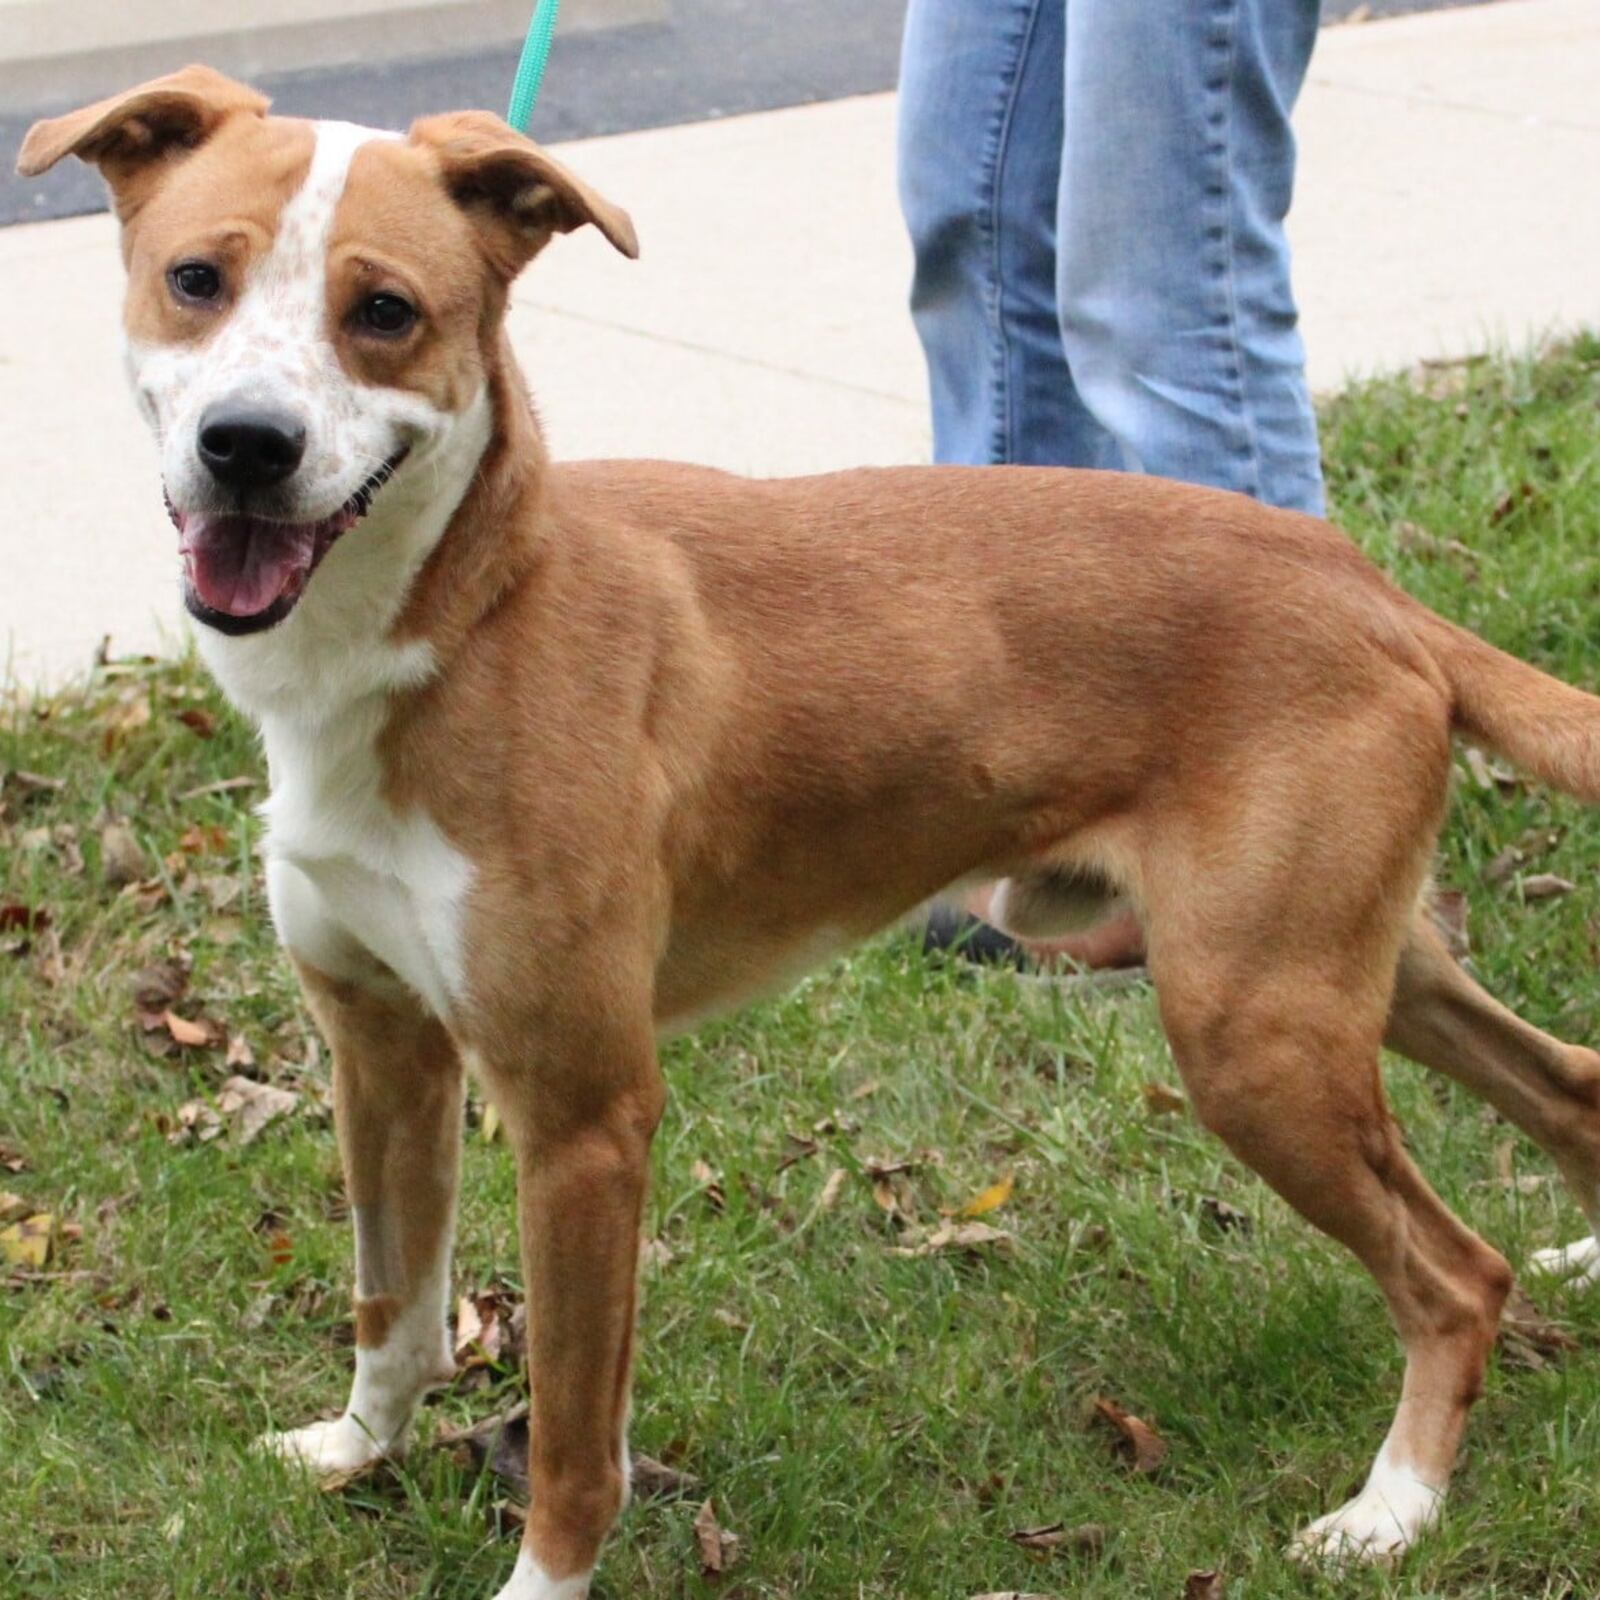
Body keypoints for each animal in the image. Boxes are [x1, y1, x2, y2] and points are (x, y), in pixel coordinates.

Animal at [18, 65, 1600, 1600]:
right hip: (1335, 972)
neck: (462, 609)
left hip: (1250, 1032)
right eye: (196, 278)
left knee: (1460, 1275)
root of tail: (1365, 584)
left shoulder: (585, 1115)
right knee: (1567, 1085)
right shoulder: (379, 1041)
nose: (246, 446)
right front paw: (356, 1449)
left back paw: (1392, 1509)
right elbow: (393, 1302)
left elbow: (573, 1435)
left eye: (386, 313)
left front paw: (542, 1576)